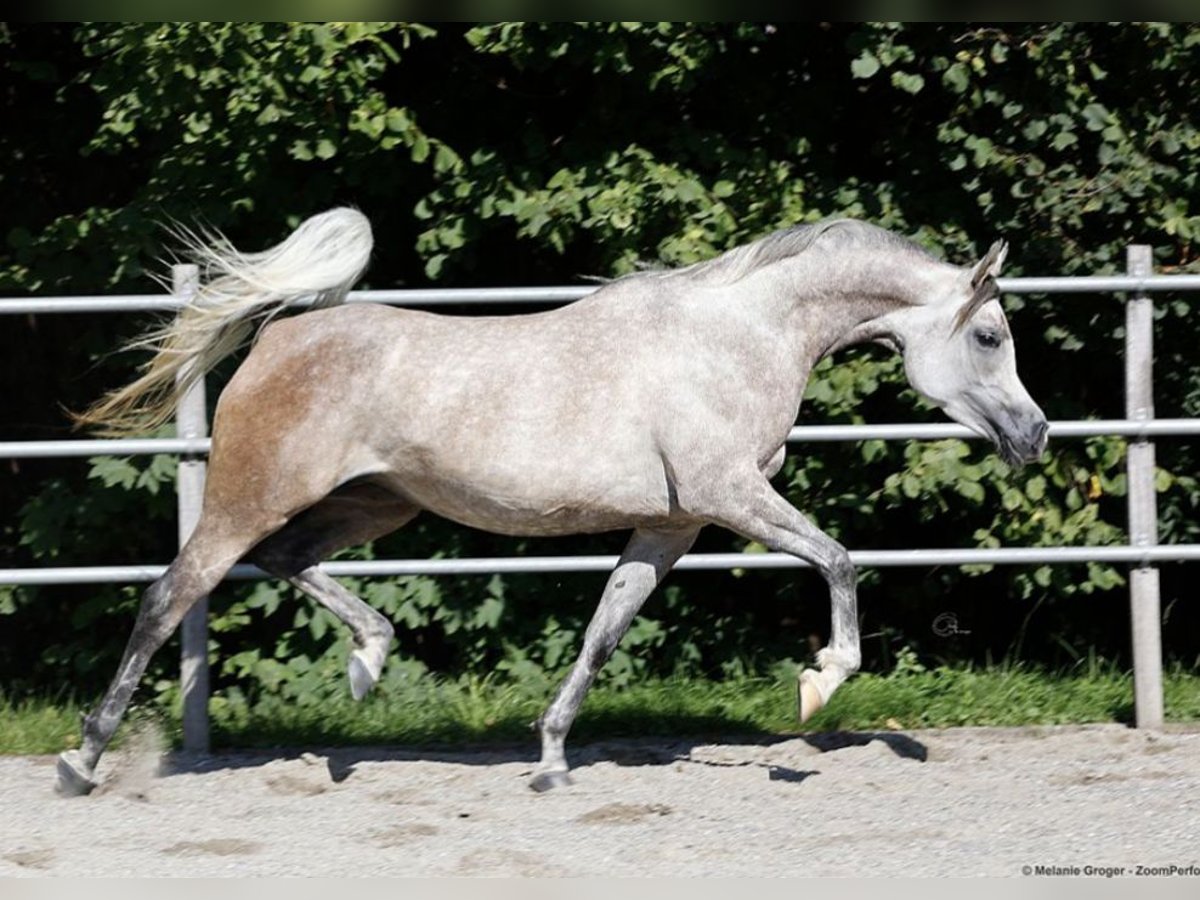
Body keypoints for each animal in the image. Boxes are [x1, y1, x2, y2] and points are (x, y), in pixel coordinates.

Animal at [60, 210, 1046, 796]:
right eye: (990, 337)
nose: (1035, 434)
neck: (740, 335)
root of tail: (279, 337)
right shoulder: (731, 494)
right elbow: (841, 560)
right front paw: (819, 683)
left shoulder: (672, 523)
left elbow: (604, 632)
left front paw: (550, 760)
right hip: (250, 498)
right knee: (169, 597)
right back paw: (83, 758)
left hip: (376, 504)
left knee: (286, 561)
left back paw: (369, 661)